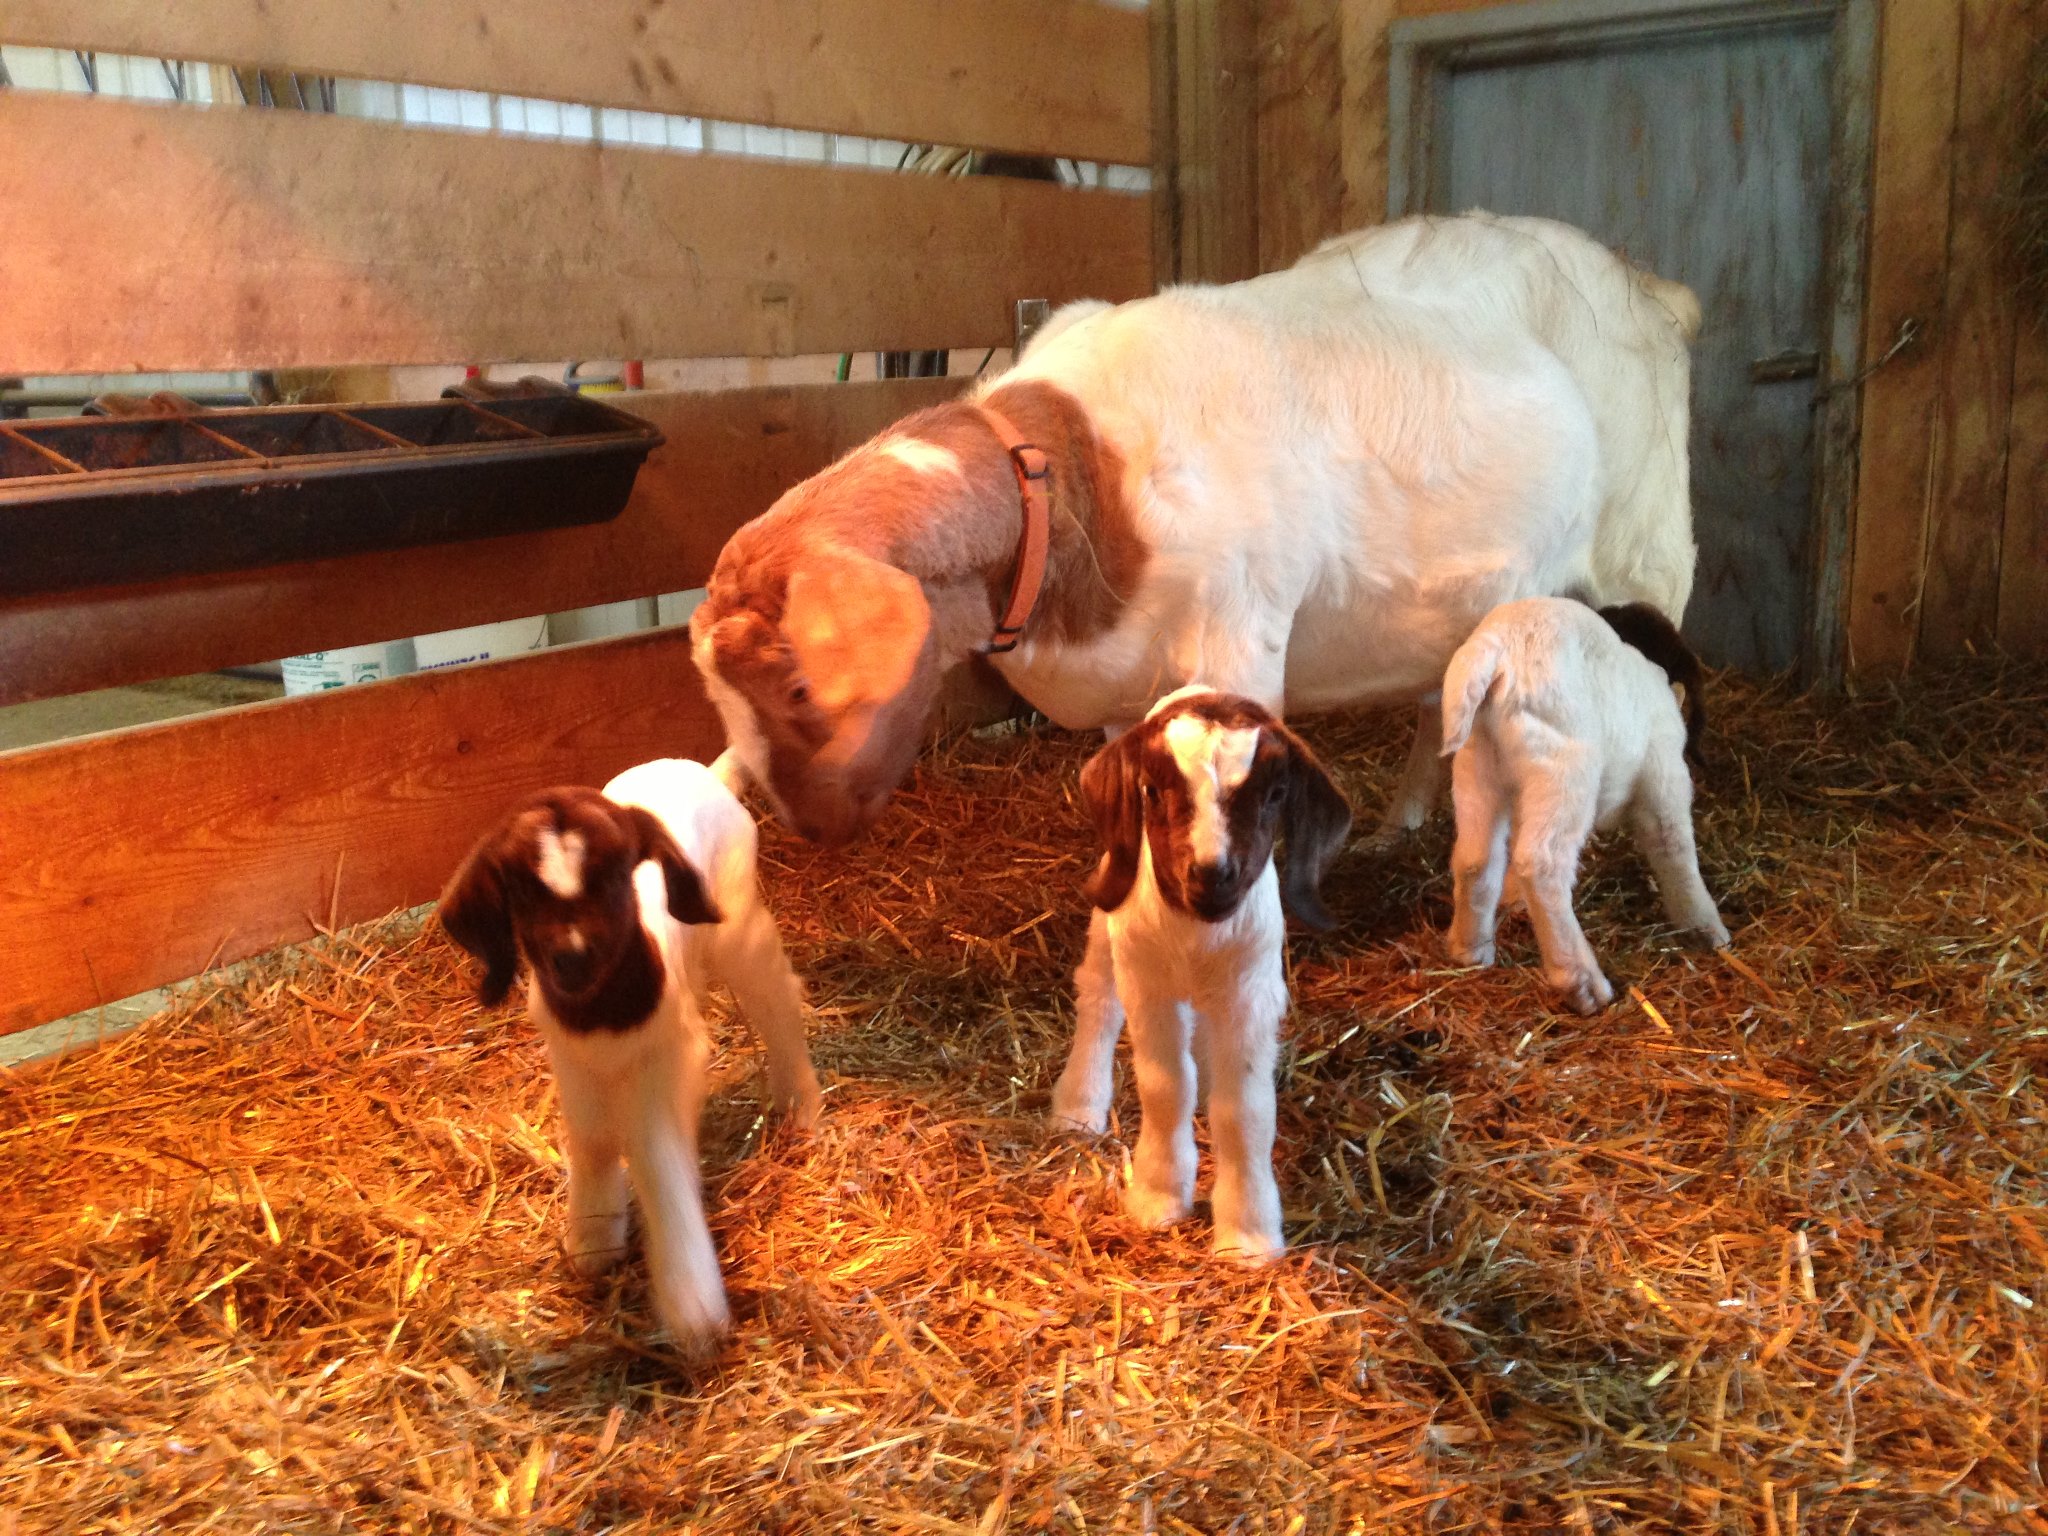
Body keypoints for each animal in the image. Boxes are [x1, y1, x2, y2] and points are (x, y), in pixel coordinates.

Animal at [438, 758, 822, 1349]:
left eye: (618, 874)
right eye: (522, 890)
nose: (572, 956)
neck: (604, 1016)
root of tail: (707, 772)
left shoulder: (667, 1059)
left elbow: (656, 1153)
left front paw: (692, 1305)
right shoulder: (572, 1059)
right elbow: (593, 1138)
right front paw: (594, 1239)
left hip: (738, 922)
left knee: (775, 994)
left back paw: (802, 1105)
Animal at [1078, 687, 1352, 1261]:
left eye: (1275, 794)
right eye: (1150, 790)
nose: (1211, 874)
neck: (1195, 937)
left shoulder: (1251, 995)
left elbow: (1243, 1109)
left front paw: (1247, 1235)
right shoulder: (1147, 985)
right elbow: (1165, 1085)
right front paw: (1158, 1196)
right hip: (1108, 923)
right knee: (1096, 999)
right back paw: (1076, 1106)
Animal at [1438, 598, 1729, 1015]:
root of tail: (1496, 654)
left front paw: (1512, 901)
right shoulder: (1664, 772)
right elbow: (1672, 846)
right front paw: (1703, 925)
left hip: (1476, 768)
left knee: (1475, 859)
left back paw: (1470, 950)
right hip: (1563, 769)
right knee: (1541, 864)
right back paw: (1581, 983)